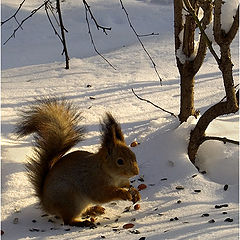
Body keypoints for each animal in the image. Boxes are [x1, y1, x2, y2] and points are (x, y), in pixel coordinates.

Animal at [16, 98, 141, 227]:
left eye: (133, 155)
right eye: (120, 161)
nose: (136, 172)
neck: (112, 174)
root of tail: (46, 204)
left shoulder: (121, 181)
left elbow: (127, 185)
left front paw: (135, 192)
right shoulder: (92, 182)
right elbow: (103, 194)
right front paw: (123, 193)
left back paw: (94, 210)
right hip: (70, 200)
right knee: (68, 221)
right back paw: (83, 222)